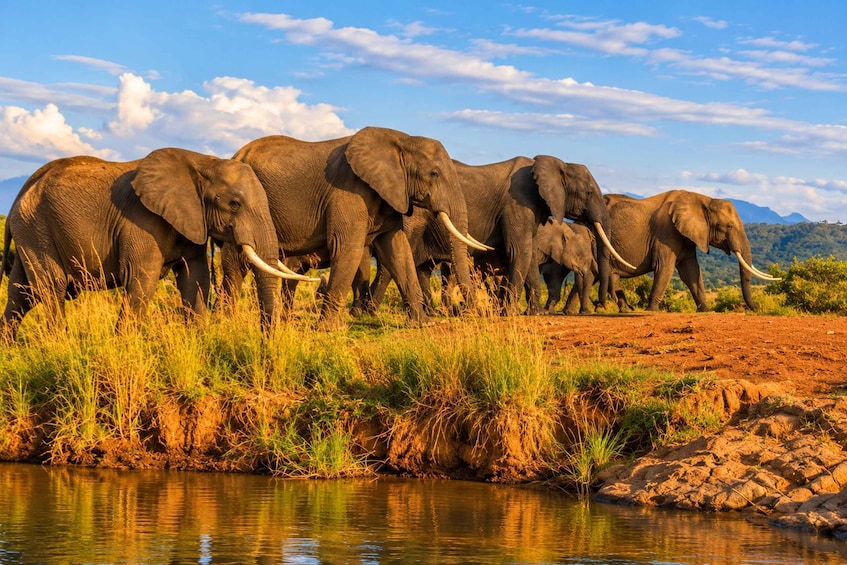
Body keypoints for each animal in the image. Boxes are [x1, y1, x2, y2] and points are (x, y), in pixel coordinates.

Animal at [0, 148, 308, 340]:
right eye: (234, 204)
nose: (266, 343)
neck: (203, 163)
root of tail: (19, 194)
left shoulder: (190, 220)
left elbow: (194, 279)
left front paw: (199, 342)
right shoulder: (141, 221)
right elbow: (142, 278)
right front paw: (124, 347)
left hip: (31, 231)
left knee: (21, 294)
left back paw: (10, 350)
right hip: (36, 228)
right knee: (51, 288)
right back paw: (64, 345)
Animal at [220, 126, 486, 330]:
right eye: (433, 174)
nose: (468, 312)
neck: (402, 139)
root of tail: (237, 154)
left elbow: (397, 249)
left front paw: (423, 324)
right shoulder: (348, 191)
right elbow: (347, 246)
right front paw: (329, 329)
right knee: (236, 263)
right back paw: (225, 324)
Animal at [367, 155, 633, 315]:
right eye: (588, 193)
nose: (600, 306)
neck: (555, 163)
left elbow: (528, 257)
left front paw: (533, 313)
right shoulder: (517, 203)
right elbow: (520, 251)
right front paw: (512, 313)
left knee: (422, 268)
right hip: (411, 217)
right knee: (393, 263)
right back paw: (369, 312)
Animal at [603, 190, 780, 312]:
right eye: (729, 226)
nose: (756, 308)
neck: (704, 200)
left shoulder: (687, 237)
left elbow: (692, 271)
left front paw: (707, 311)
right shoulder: (665, 233)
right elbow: (664, 267)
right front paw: (651, 311)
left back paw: (624, 309)